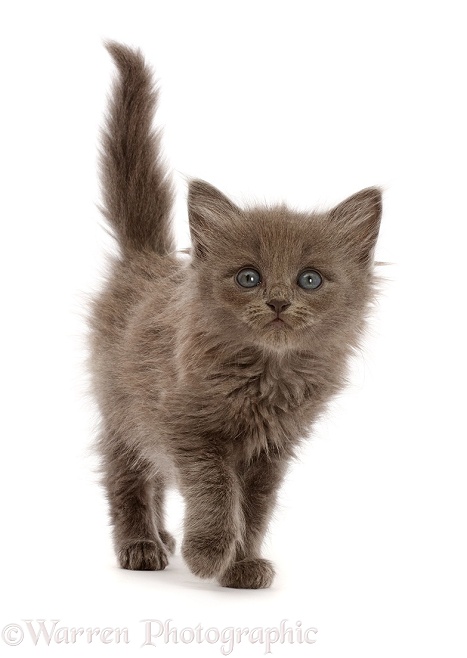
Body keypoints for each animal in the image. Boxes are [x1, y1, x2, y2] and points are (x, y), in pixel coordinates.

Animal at [89, 41, 382, 588]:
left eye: (310, 279)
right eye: (248, 277)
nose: (278, 302)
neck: (266, 375)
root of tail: (145, 259)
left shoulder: (272, 452)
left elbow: (255, 509)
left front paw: (241, 564)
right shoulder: (188, 428)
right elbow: (215, 490)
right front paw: (209, 553)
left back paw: (164, 538)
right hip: (123, 409)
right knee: (128, 476)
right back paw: (141, 545)